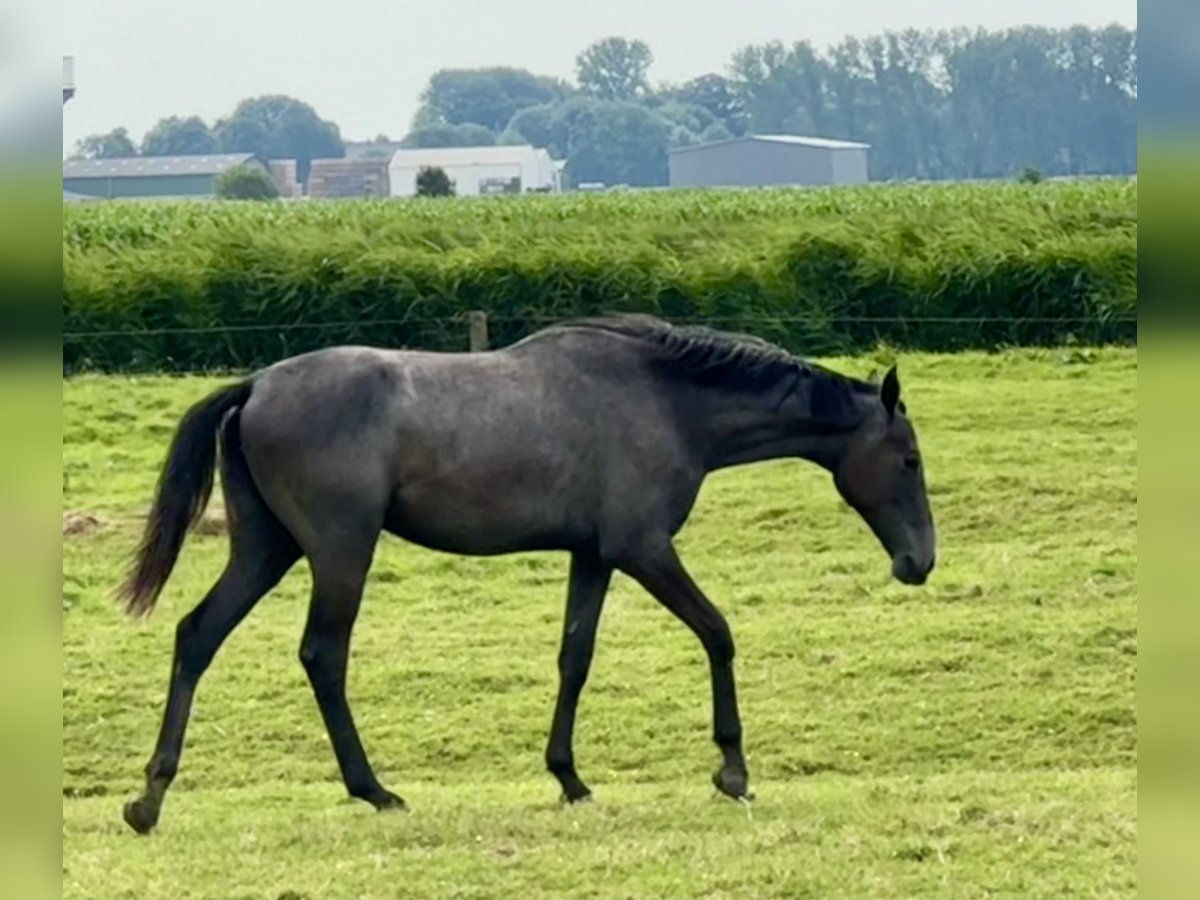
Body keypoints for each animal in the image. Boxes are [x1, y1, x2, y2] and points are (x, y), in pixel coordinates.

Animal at [114, 319, 936, 840]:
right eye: (908, 460)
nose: (919, 561)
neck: (667, 403)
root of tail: (255, 385)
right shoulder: (644, 549)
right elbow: (717, 632)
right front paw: (731, 770)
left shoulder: (595, 556)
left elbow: (575, 658)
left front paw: (568, 777)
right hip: (340, 552)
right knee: (322, 655)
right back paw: (374, 791)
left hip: (267, 549)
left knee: (198, 636)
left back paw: (150, 798)